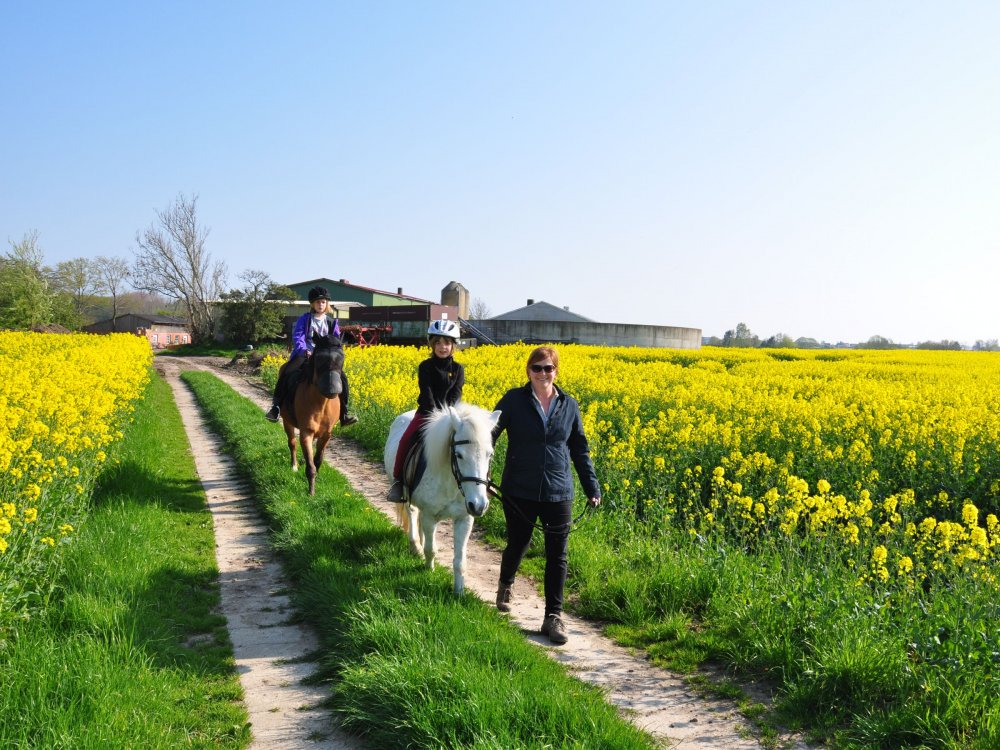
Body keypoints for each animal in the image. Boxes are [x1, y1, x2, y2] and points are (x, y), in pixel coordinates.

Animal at [281, 333, 344, 495]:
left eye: (342, 357)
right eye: (319, 358)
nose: (332, 389)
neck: (321, 404)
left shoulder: (326, 435)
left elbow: (317, 460)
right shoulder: (306, 434)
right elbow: (311, 466)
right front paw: (311, 493)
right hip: (287, 421)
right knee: (292, 442)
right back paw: (294, 466)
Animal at [383, 402, 501, 595]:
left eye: (489, 454)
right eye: (459, 455)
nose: (478, 505)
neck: (452, 483)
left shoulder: (464, 519)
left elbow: (460, 561)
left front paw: (459, 592)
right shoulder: (430, 516)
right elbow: (431, 549)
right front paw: (428, 570)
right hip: (407, 497)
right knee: (412, 513)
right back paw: (415, 546)